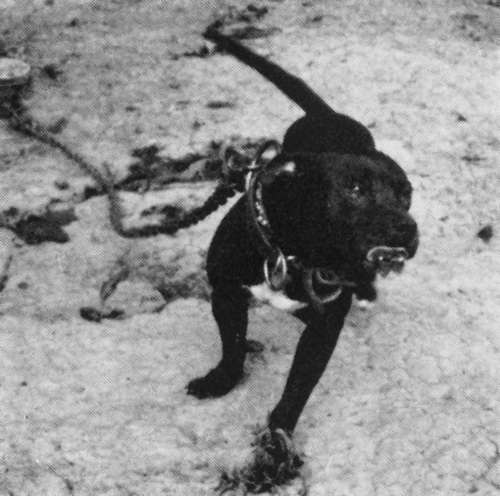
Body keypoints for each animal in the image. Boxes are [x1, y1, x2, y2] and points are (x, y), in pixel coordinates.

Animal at [187, 29, 419, 488]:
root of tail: (328, 115)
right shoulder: (226, 294)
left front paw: (277, 440)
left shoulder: (323, 330)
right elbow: (232, 345)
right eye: (355, 190)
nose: (407, 228)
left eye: (406, 196)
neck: (293, 255)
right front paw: (222, 380)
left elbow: (297, 387)